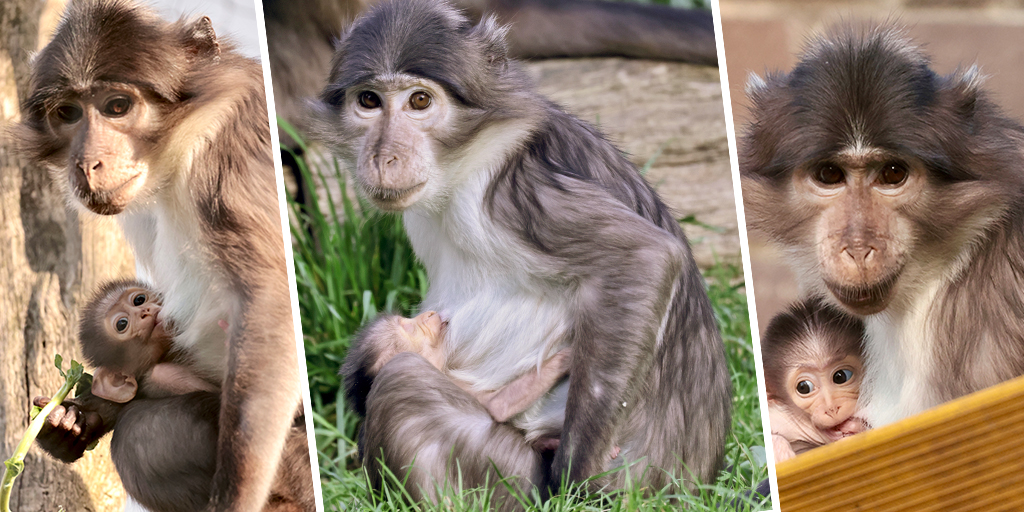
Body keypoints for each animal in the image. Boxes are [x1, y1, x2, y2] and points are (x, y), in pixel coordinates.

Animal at [17, 2, 299, 509]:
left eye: (117, 106)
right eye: (67, 113)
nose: (86, 165)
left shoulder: (227, 149)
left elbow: (272, 303)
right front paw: (68, 424)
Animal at [315, 0, 733, 495]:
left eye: (419, 101)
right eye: (369, 101)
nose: (383, 157)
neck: (464, 158)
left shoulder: (506, 185)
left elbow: (646, 257)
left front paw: (571, 485)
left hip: (511, 476)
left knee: (403, 382)